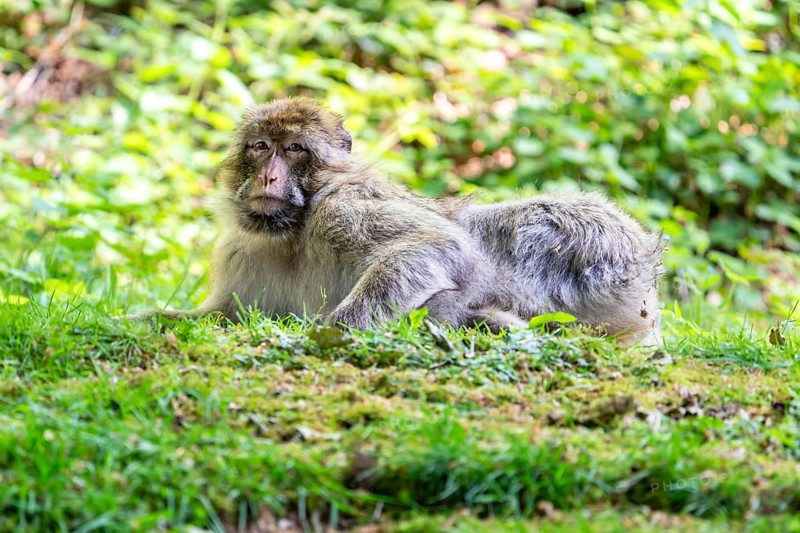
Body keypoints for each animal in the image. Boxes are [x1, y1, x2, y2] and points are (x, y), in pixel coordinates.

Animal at [161, 97, 663, 345]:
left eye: (295, 149)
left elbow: (437, 244)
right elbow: (219, 315)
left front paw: (326, 330)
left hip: (600, 260)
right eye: (262, 146)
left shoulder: (339, 210)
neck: (291, 235)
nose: (269, 175)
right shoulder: (240, 251)